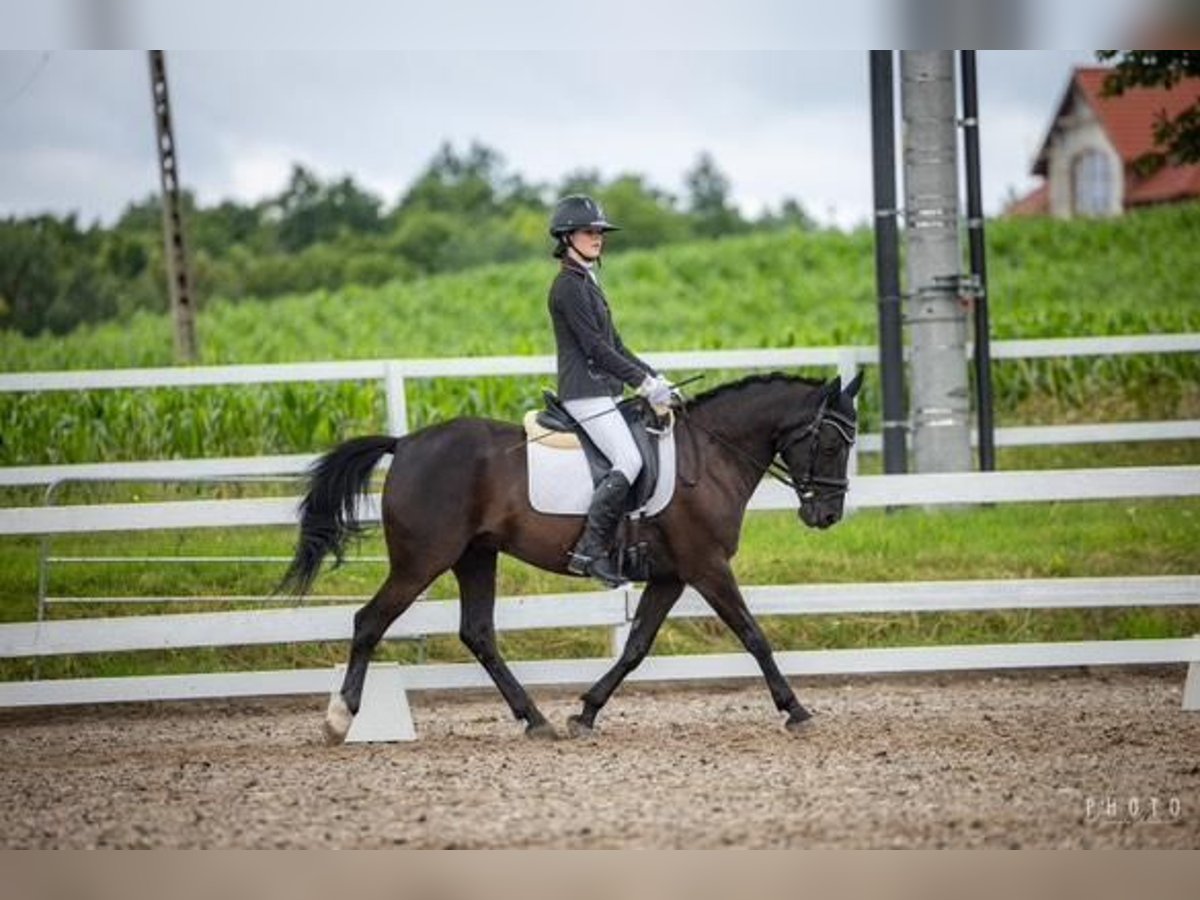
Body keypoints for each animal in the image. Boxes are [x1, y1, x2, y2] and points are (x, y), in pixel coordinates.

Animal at [280, 369, 864, 744]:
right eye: (832, 445)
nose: (827, 515)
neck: (712, 455)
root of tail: (405, 444)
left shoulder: (672, 576)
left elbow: (636, 647)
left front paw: (586, 712)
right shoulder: (707, 567)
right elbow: (753, 635)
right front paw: (796, 709)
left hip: (475, 556)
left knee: (478, 633)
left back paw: (536, 719)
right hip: (423, 560)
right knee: (369, 621)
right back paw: (339, 719)